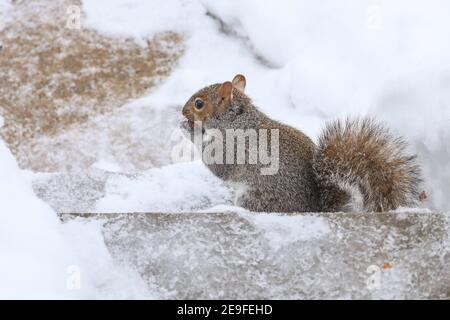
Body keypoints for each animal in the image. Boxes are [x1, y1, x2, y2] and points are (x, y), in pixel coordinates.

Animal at [180, 73, 422, 211]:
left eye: (199, 104)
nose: (182, 111)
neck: (236, 119)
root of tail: (315, 208)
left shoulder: (234, 147)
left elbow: (218, 165)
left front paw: (189, 130)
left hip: (255, 197)